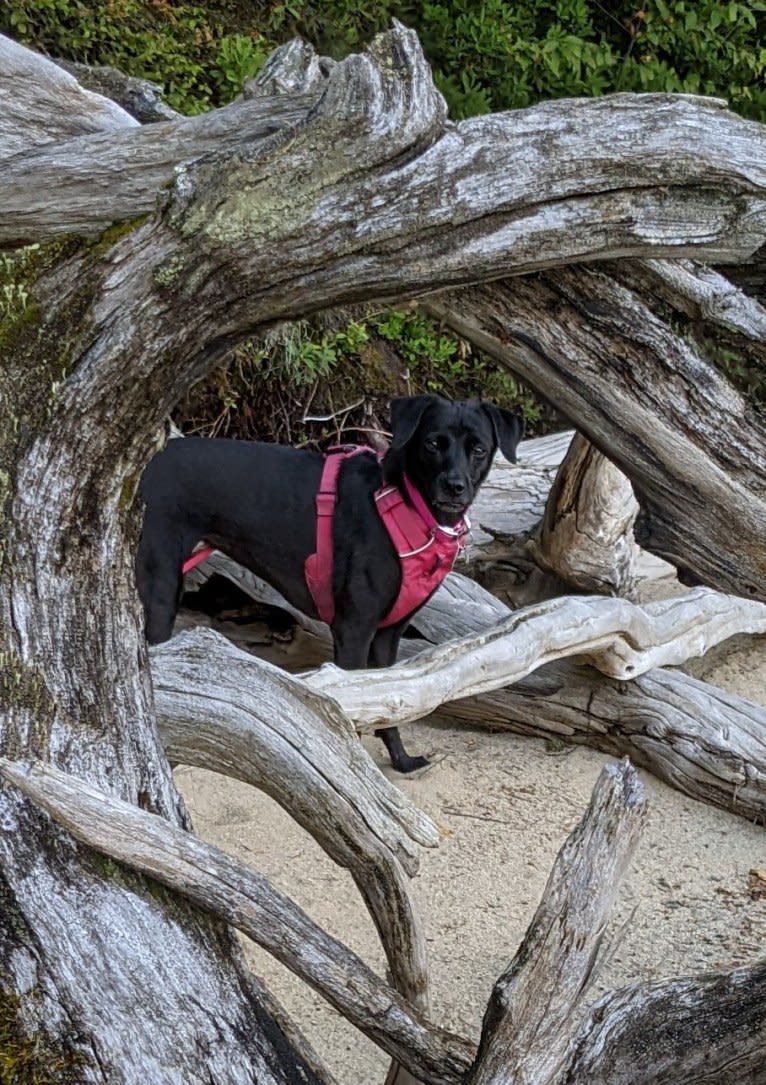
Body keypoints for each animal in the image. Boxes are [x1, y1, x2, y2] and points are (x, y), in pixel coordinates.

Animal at [135, 397, 518, 772]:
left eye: (479, 449)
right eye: (432, 444)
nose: (455, 486)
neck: (406, 503)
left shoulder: (387, 634)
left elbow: (391, 701)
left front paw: (401, 759)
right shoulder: (353, 630)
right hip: (159, 590)